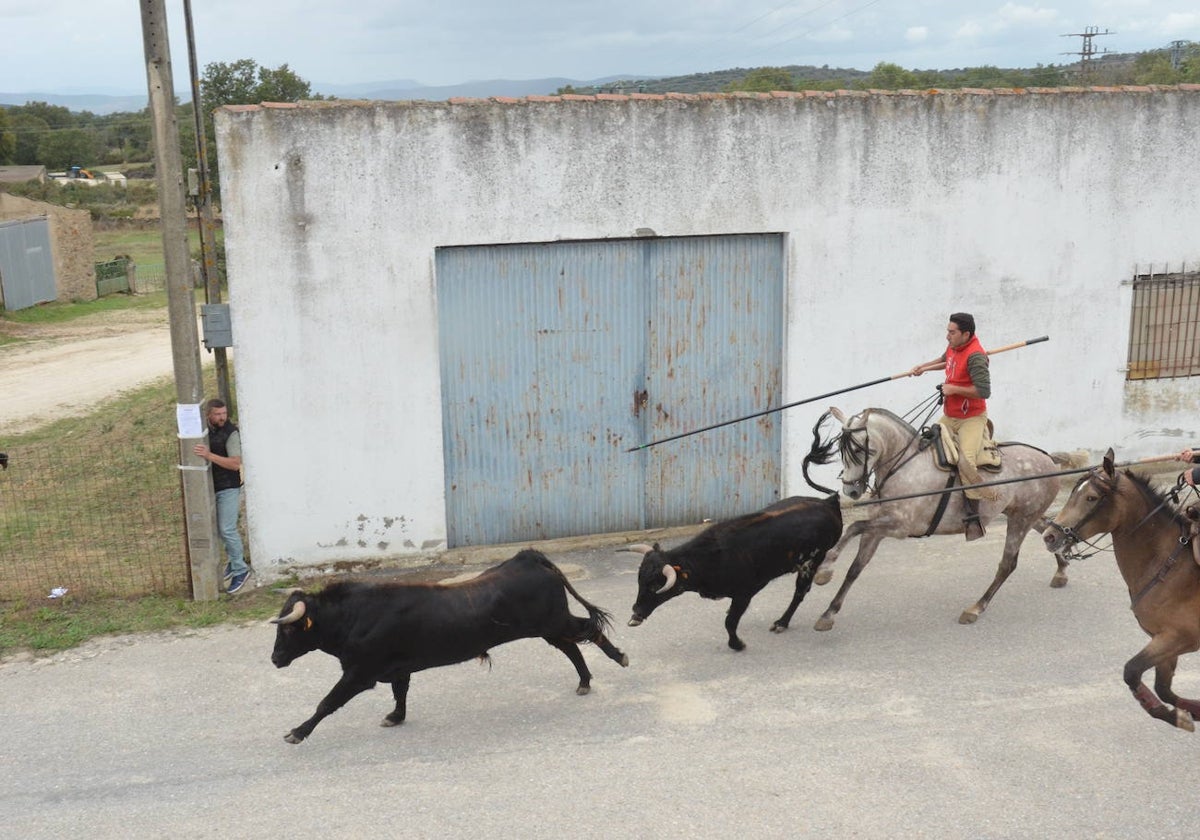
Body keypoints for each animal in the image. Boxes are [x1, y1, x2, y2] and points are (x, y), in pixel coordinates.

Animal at [271, 552, 628, 739]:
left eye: (288, 630)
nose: (274, 659)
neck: (354, 615)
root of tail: (528, 558)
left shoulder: (359, 673)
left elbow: (327, 702)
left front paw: (297, 732)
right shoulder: (397, 669)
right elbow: (400, 693)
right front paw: (395, 717)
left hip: (554, 622)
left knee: (588, 631)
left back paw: (620, 658)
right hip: (549, 628)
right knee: (572, 646)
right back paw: (584, 681)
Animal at [628, 494, 844, 652]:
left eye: (657, 585)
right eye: (639, 580)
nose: (636, 611)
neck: (711, 557)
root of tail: (827, 502)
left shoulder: (744, 593)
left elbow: (730, 622)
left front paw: (737, 644)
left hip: (810, 563)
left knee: (800, 593)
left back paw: (782, 622)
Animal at [801, 408, 1075, 628]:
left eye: (859, 449)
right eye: (840, 449)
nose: (851, 491)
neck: (903, 467)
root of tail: (1048, 458)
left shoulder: (898, 527)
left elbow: (854, 526)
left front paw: (824, 569)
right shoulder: (877, 531)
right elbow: (855, 568)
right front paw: (828, 612)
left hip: (1021, 519)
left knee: (1008, 564)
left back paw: (975, 608)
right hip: (1022, 515)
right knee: (1048, 530)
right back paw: (1061, 571)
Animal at [1041, 448, 1200, 729]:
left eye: (1091, 497)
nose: (1050, 536)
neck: (1165, 562)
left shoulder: (1180, 637)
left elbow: (1132, 671)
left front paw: (1179, 717)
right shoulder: (1162, 639)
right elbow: (1162, 688)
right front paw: (1184, 715)